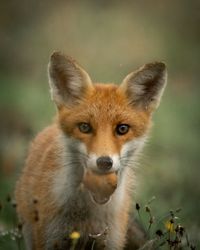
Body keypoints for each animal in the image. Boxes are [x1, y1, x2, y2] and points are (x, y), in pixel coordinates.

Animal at [14, 51, 166, 249]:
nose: (104, 162)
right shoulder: (48, 238)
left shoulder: (110, 240)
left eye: (122, 129)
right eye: (85, 127)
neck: (86, 216)